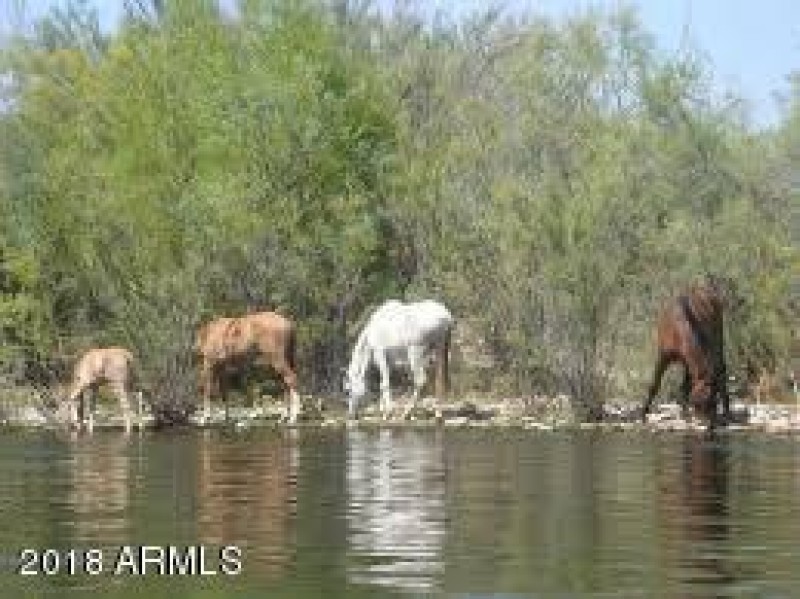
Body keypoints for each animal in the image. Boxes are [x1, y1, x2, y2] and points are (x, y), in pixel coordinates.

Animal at [641, 281, 731, 428]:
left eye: (714, 402)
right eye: (698, 403)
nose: (710, 427)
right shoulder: (664, 356)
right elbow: (654, 384)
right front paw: (643, 414)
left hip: (717, 336)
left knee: (721, 367)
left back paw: (727, 412)